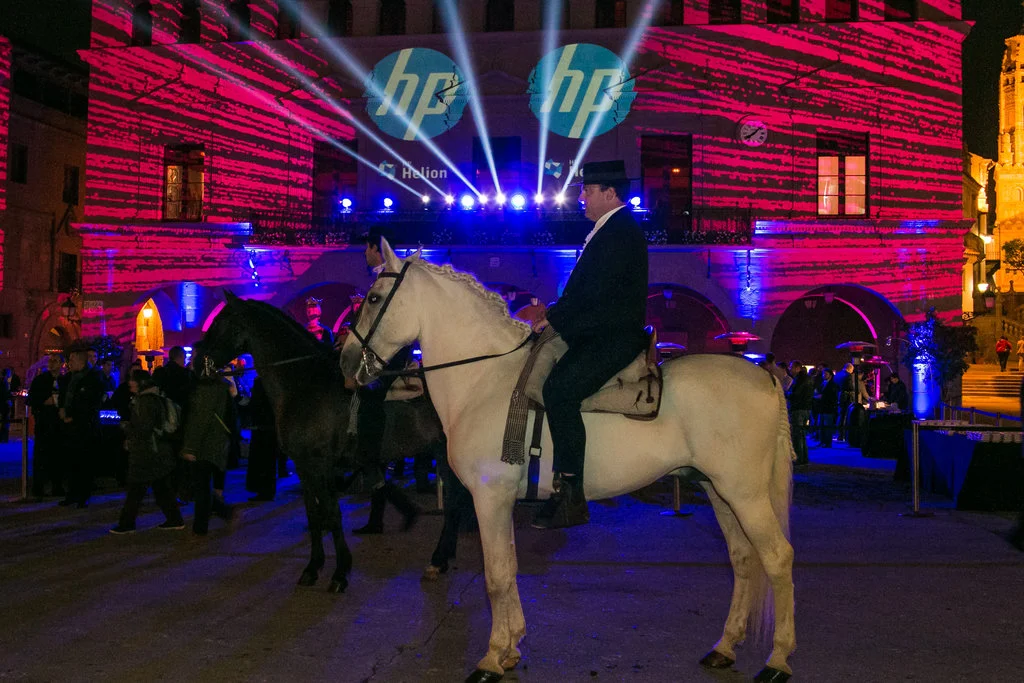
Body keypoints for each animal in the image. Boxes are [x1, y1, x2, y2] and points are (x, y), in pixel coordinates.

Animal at [197, 292, 458, 592]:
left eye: (221, 323)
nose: (197, 362)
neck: (304, 385)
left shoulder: (321, 464)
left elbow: (332, 513)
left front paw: (340, 572)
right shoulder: (304, 466)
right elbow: (314, 514)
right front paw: (313, 568)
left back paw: (438, 559)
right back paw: (442, 558)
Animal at [340, 241, 796, 683]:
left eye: (374, 297)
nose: (345, 360)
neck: (485, 380)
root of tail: (765, 378)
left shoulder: (489, 496)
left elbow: (496, 575)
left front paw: (491, 659)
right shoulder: (502, 501)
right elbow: (509, 567)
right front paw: (511, 648)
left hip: (745, 494)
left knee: (777, 558)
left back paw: (777, 660)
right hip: (718, 491)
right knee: (743, 558)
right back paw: (725, 647)